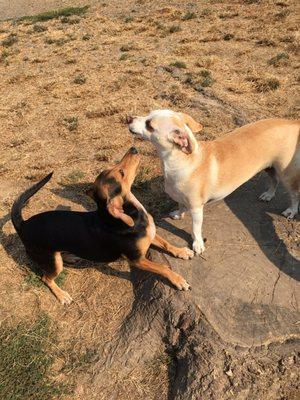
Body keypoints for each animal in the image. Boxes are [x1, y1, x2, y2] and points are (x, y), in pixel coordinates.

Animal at [11, 147, 192, 304]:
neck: (131, 214)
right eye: (121, 173)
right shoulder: (137, 260)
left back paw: (70, 256)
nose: (133, 148)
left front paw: (182, 251)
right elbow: (163, 268)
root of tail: (23, 225)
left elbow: (167, 244)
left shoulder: (151, 234)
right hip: (51, 262)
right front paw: (178, 279)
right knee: (45, 278)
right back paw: (62, 294)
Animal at [127, 110, 300, 253]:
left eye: (149, 125)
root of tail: (292, 122)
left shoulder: (197, 209)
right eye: (148, 114)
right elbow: (180, 204)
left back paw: (291, 211)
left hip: (287, 174)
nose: (128, 118)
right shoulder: (180, 197)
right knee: (274, 180)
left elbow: (196, 228)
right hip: (269, 167)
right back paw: (269, 195)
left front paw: (197, 244)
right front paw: (178, 213)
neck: (180, 160)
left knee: (294, 194)